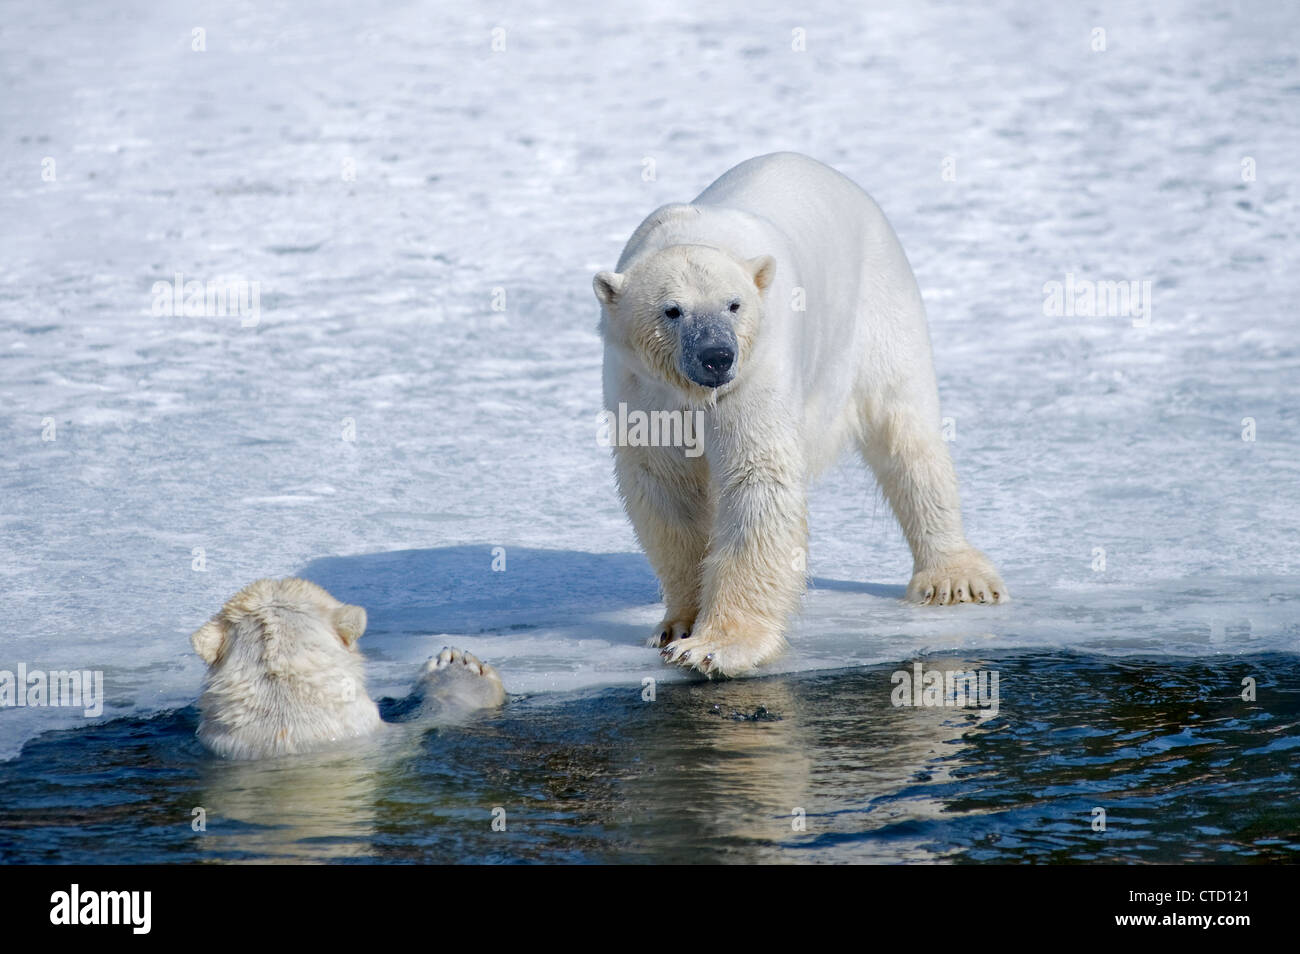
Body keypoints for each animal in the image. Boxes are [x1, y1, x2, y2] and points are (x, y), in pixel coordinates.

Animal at [595, 151, 1008, 681]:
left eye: (734, 304)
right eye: (672, 310)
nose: (716, 356)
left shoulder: (758, 369)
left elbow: (757, 478)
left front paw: (717, 646)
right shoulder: (641, 385)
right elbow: (664, 484)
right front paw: (676, 626)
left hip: (880, 307)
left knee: (904, 429)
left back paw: (953, 578)